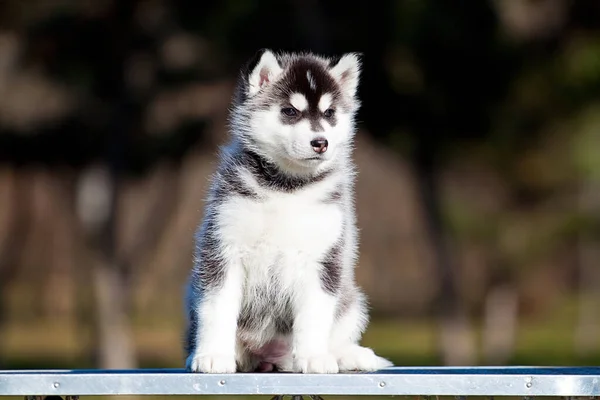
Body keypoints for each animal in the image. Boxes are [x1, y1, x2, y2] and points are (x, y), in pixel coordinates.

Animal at [183, 48, 394, 374]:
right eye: (290, 111)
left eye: (330, 113)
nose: (321, 142)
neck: (287, 187)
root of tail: (268, 358)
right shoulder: (222, 247)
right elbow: (217, 307)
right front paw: (213, 355)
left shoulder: (324, 258)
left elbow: (315, 314)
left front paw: (314, 357)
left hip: (351, 301)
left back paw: (348, 355)